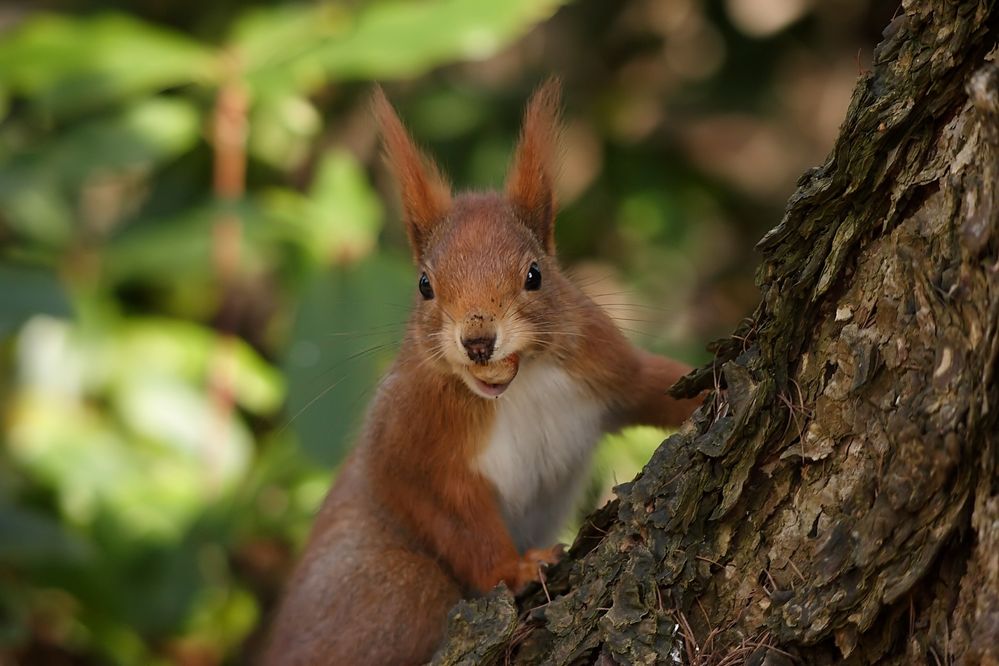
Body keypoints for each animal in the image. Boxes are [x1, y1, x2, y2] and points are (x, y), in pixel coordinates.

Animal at [266, 80, 704, 660]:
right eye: (424, 285)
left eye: (536, 274)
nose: (477, 340)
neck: (522, 387)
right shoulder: (410, 440)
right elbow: (452, 519)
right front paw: (514, 569)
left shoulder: (604, 365)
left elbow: (655, 385)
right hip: (398, 592)